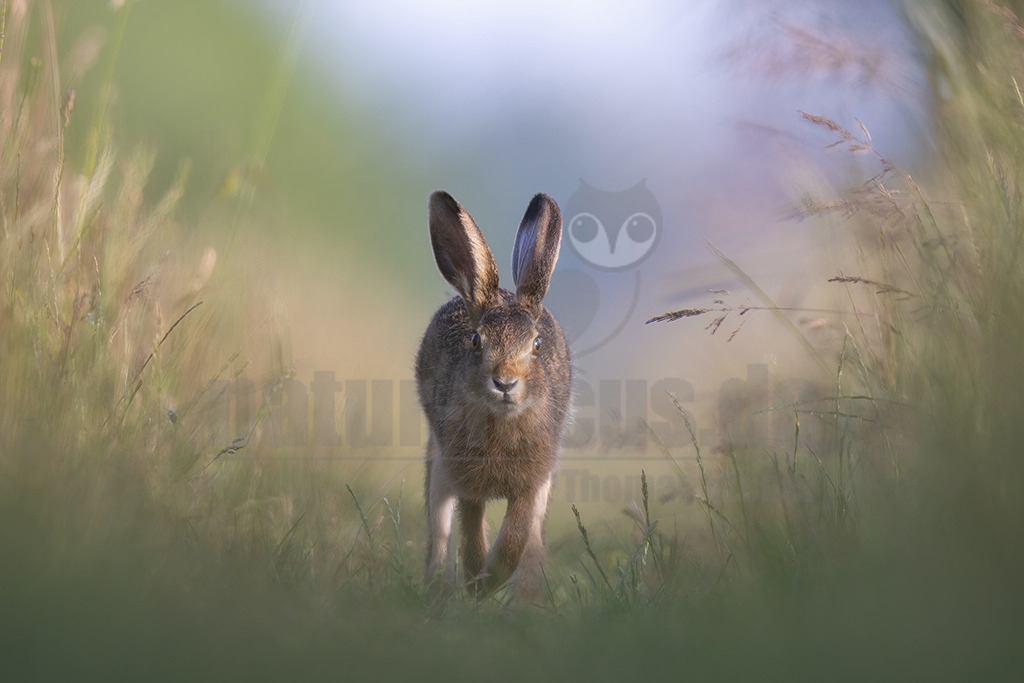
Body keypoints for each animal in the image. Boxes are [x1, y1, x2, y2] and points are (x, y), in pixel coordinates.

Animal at [416, 190, 572, 602]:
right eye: (476, 341)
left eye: (536, 345)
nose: (504, 382)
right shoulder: (466, 482)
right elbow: (470, 534)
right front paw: (478, 583)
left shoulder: (531, 482)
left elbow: (516, 537)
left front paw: (491, 579)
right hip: (438, 464)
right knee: (439, 531)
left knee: (533, 544)